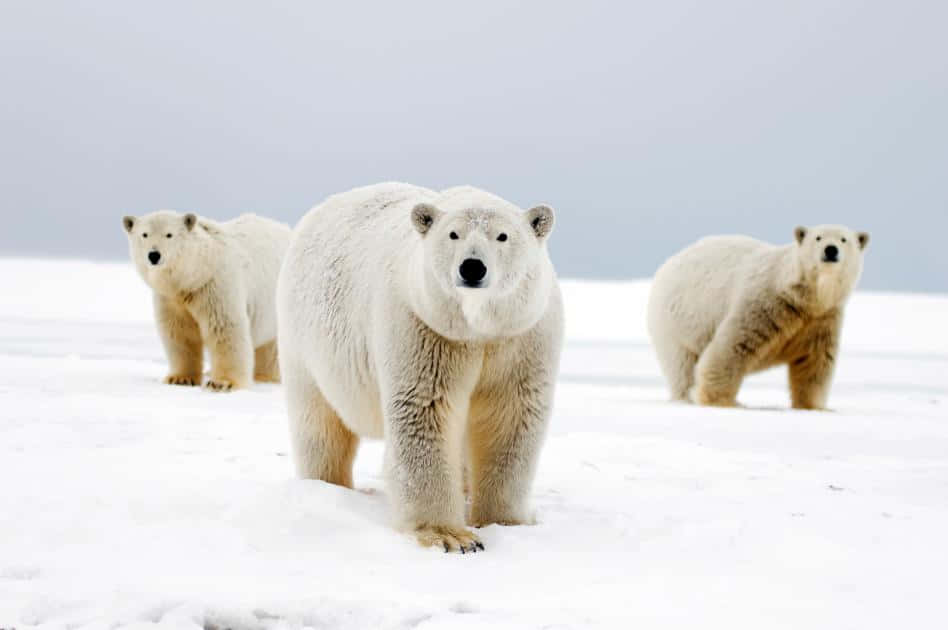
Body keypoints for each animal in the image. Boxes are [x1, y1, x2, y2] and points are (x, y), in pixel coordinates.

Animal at [122, 210, 291, 392]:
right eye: (144, 234)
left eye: (169, 234)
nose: (154, 255)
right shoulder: (171, 298)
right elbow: (179, 332)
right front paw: (180, 378)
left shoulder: (215, 286)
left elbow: (225, 328)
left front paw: (222, 382)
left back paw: (264, 376)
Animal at [277, 182, 564, 553]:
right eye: (453, 234)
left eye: (502, 236)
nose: (472, 267)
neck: (476, 328)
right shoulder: (424, 327)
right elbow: (425, 410)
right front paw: (452, 536)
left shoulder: (522, 336)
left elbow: (511, 417)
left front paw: (506, 523)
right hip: (305, 343)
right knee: (319, 423)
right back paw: (327, 487)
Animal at [647, 225, 869, 409]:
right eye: (818, 237)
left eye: (844, 239)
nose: (831, 250)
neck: (802, 297)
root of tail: (668, 264)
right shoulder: (763, 303)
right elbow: (732, 347)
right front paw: (720, 401)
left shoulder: (822, 319)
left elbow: (815, 361)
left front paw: (814, 407)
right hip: (676, 320)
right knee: (681, 365)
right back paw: (686, 397)